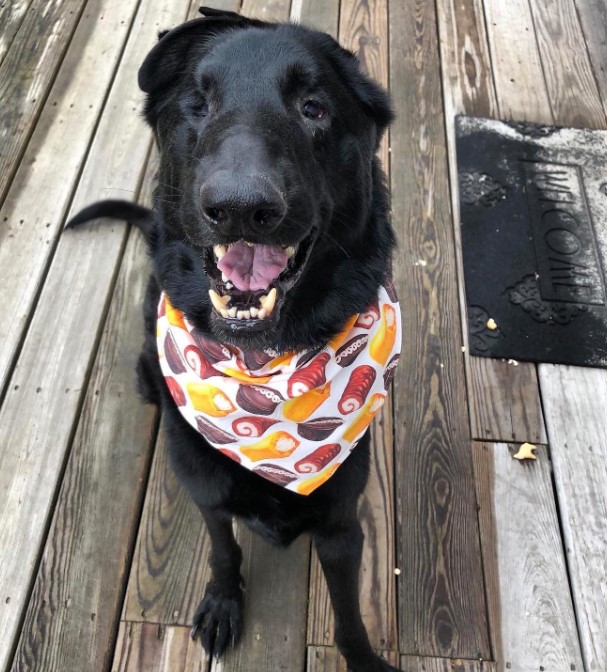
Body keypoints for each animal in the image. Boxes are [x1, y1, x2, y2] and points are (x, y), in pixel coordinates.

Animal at [70, 6, 404, 672]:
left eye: (314, 107)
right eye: (198, 104)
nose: (240, 207)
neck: (261, 367)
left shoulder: (342, 528)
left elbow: (349, 616)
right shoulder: (206, 494)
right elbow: (223, 550)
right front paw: (224, 602)